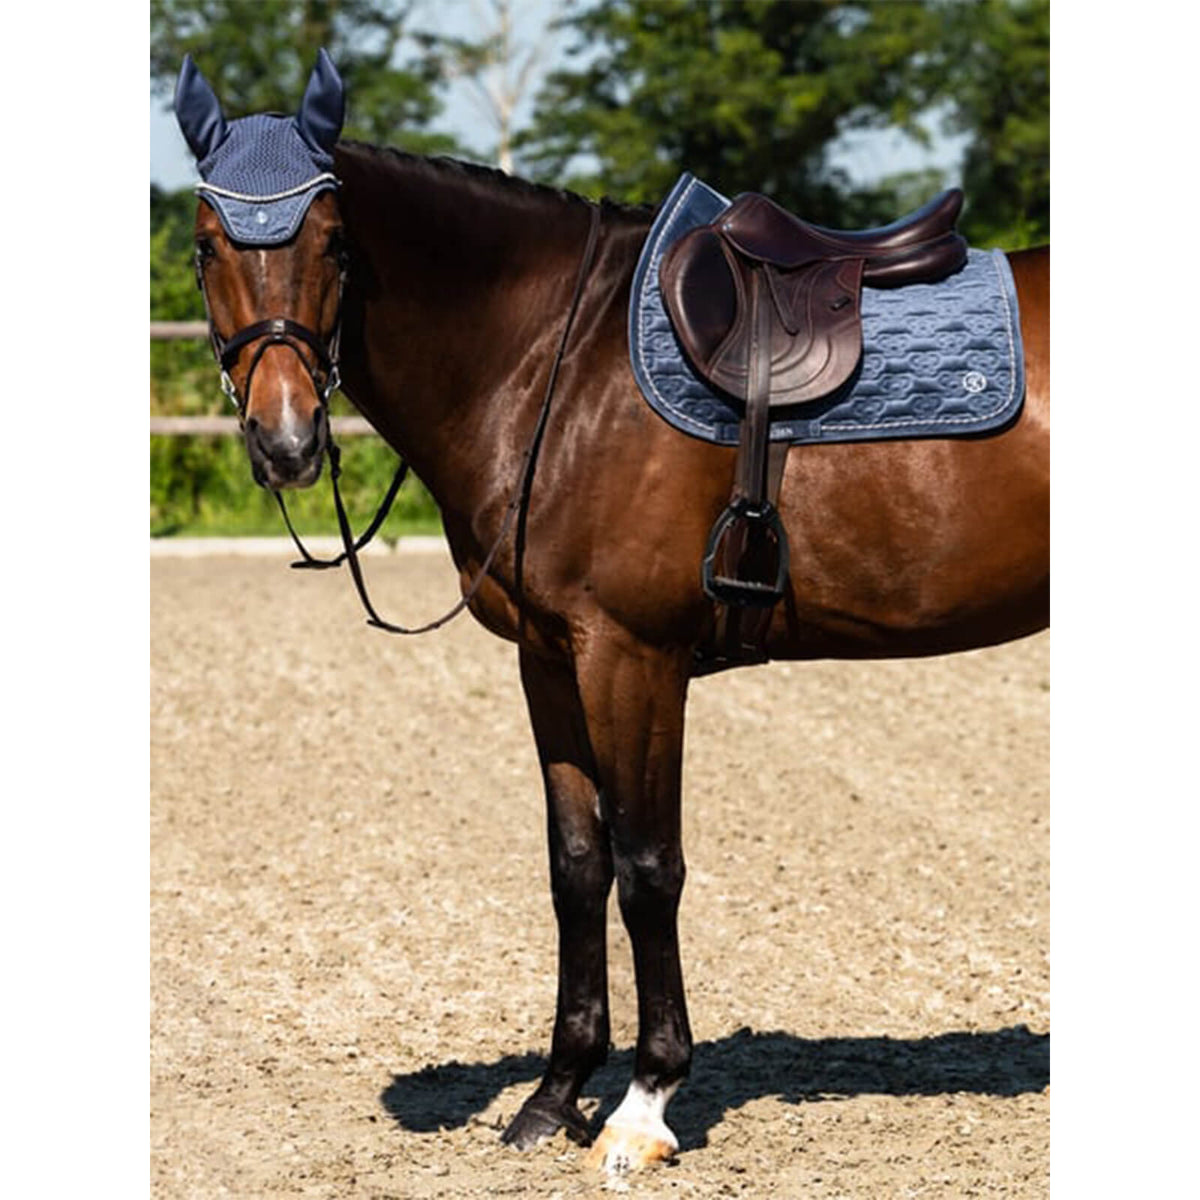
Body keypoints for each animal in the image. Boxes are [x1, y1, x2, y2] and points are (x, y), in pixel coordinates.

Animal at [174, 52, 1048, 1175]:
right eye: (206, 244)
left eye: (334, 241)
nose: (286, 442)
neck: (553, 354)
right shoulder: (551, 660)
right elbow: (577, 867)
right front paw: (556, 1095)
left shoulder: (631, 655)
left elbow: (646, 870)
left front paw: (644, 1104)